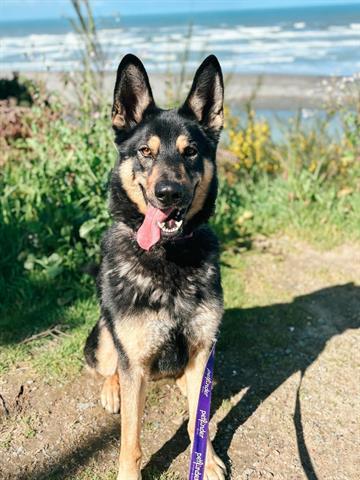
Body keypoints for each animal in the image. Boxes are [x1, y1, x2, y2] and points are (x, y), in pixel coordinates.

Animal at [84, 53, 225, 480]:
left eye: (190, 152)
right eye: (145, 152)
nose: (168, 194)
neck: (168, 259)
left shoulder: (202, 350)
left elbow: (199, 419)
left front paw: (206, 458)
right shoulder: (133, 360)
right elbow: (130, 439)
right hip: (105, 336)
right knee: (107, 368)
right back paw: (111, 390)